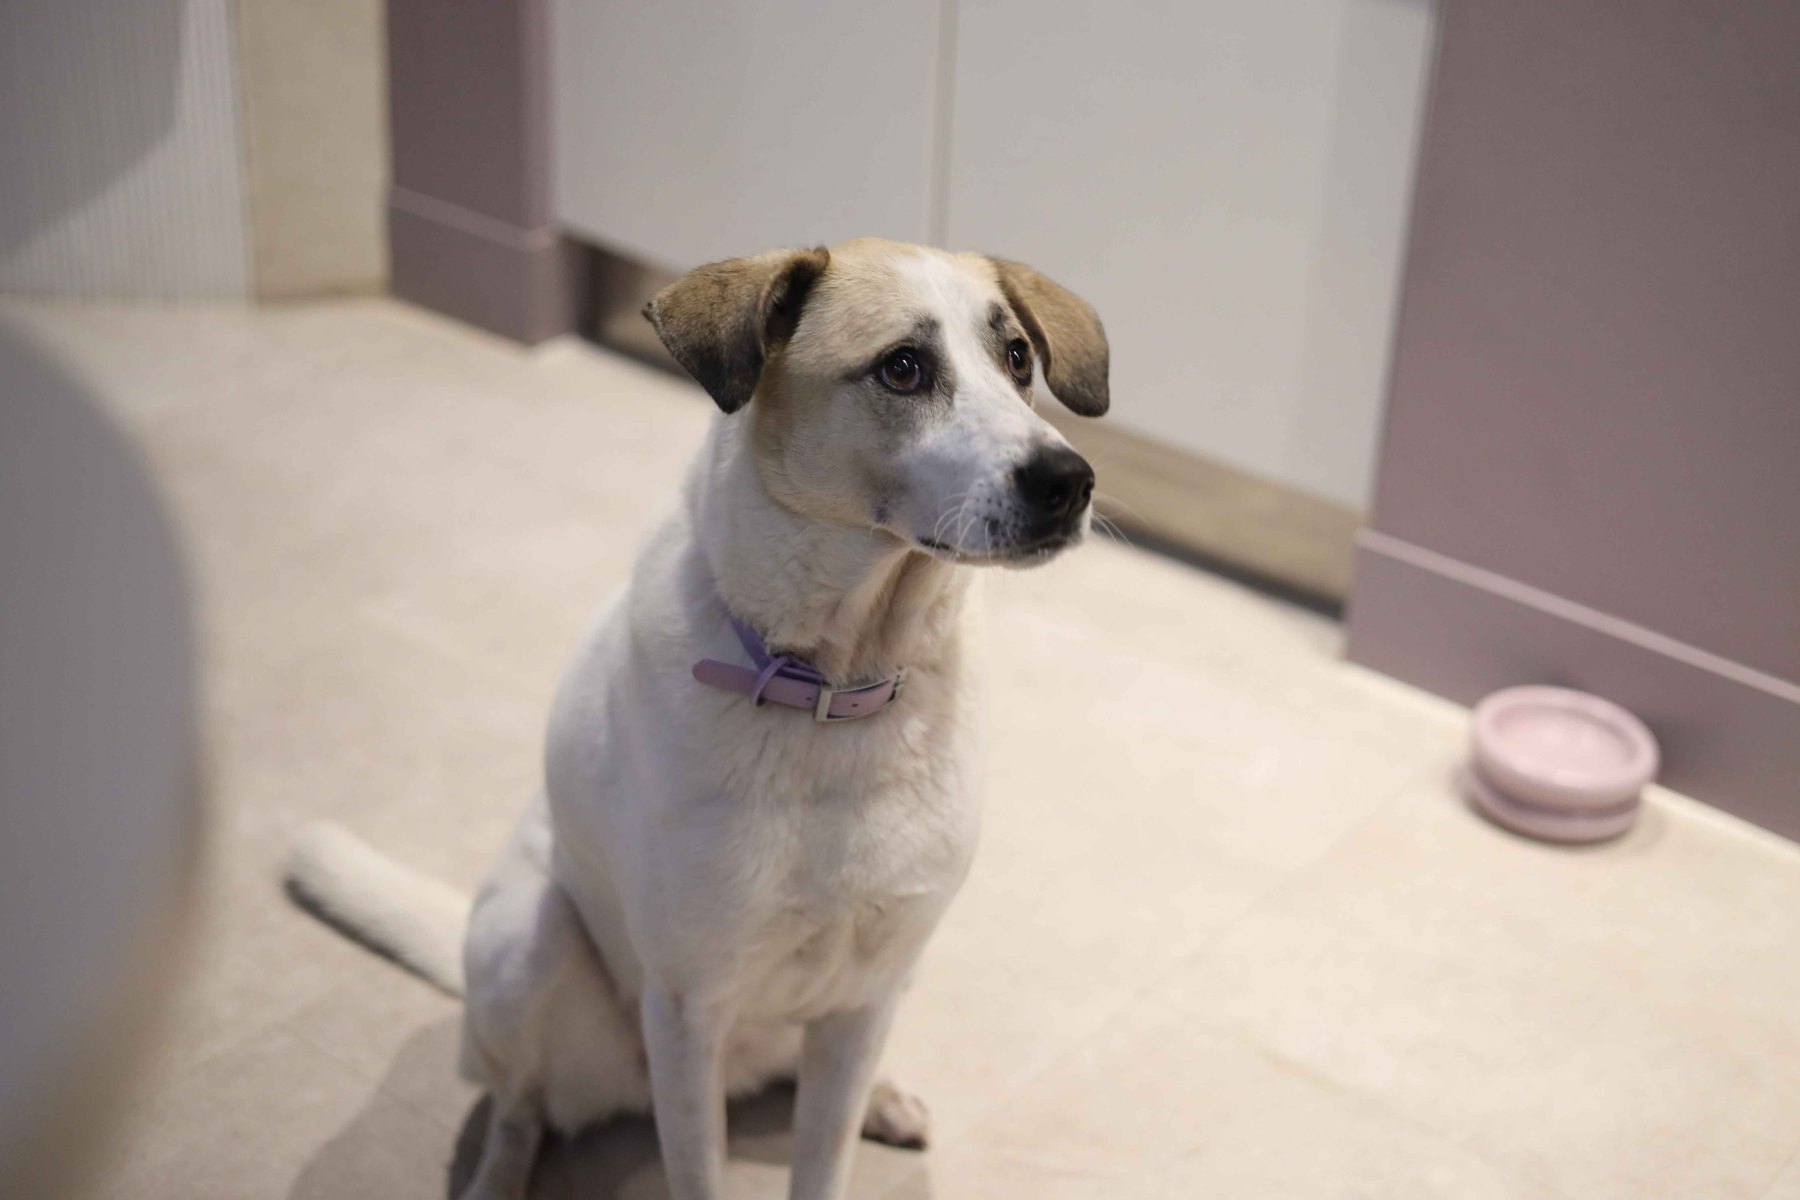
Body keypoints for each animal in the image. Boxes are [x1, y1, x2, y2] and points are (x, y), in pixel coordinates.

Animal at [287, 237, 1109, 1200]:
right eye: (903, 368)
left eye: (1016, 358)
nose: (1069, 480)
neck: (831, 689)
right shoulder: (687, 1010)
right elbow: (696, 1173)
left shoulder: (866, 994)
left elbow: (822, 1164)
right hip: (530, 948)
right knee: (519, 1107)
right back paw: (496, 1176)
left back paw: (884, 1100)